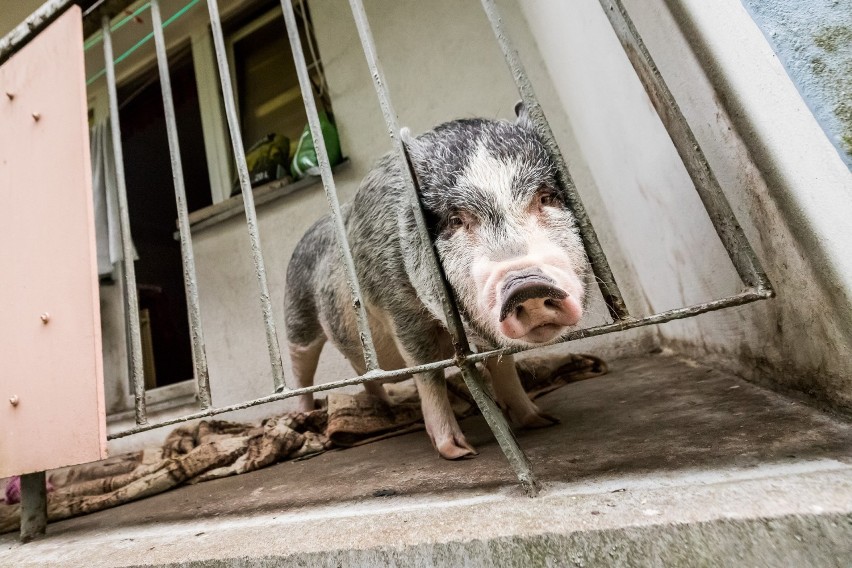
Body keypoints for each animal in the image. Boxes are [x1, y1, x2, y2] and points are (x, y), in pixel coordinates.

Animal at [284, 105, 584, 462]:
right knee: (301, 368)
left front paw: (543, 420)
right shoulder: (399, 307)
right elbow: (429, 373)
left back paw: (385, 408)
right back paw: (303, 417)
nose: (527, 285)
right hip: (297, 315)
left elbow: (504, 366)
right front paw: (460, 452)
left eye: (546, 197)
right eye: (455, 219)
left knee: (363, 371)